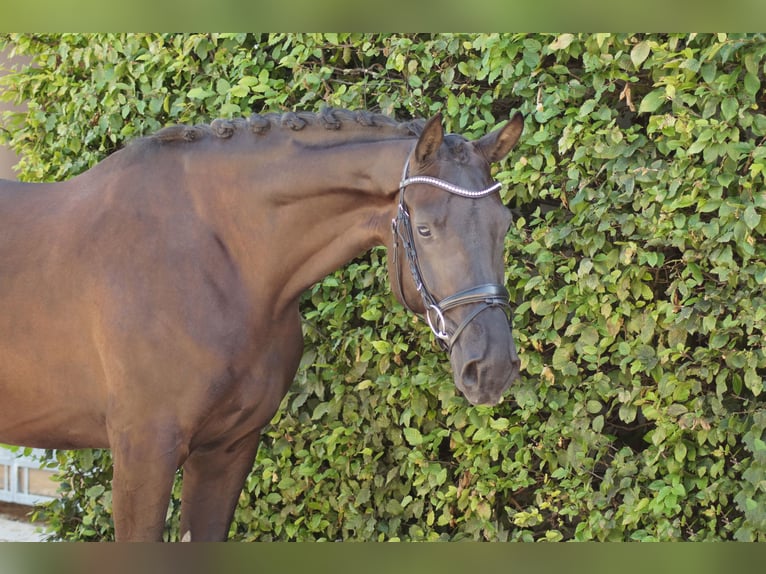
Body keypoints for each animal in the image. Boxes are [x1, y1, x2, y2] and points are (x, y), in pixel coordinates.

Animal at [0, 107, 524, 540]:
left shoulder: (229, 449)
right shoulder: (143, 453)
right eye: (426, 229)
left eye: (505, 224)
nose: (492, 368)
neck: (219, 257)